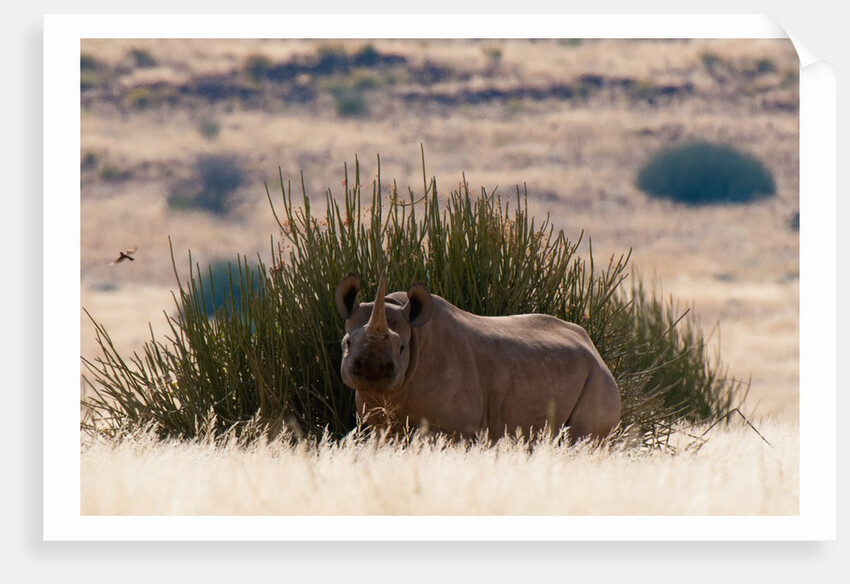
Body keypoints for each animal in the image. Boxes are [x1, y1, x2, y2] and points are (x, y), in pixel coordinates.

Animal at [334, 270, 621, 442]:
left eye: (402, 348)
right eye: (347, 343)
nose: (373, 369)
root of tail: (595, 350)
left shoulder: (455, 429)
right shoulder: (378, 423)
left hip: (598, 378)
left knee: (583, 440)